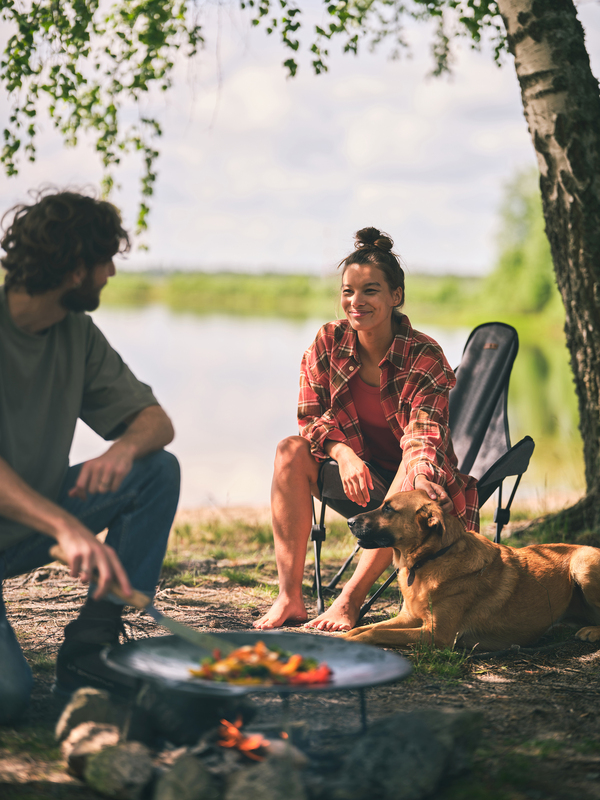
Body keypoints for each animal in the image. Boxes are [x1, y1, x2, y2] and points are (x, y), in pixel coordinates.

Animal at [340, 488, 600, 648]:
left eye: (388, 509)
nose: (349, 522)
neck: (430, 559)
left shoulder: (437, 634)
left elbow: (374, 632)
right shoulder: (408, 619)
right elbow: (367, 627)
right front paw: (346, 635)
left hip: (583, 565)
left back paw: (591, 631)